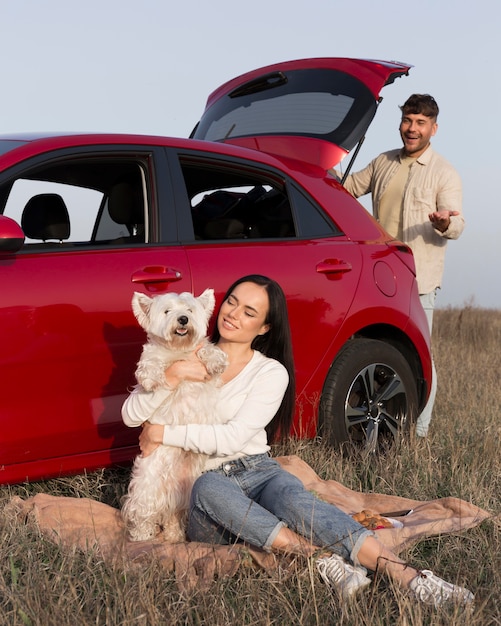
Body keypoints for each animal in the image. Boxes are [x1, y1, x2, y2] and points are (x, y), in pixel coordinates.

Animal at [122, 288, 228, 540]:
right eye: (167, 311)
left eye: (189, 309)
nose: (183, 319)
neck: (178, 350)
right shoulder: (154, 358)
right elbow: (150, 362)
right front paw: (151, 378)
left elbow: (208, 349)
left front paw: (216, 360)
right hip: (148, 485)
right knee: (142, 513)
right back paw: (142, 536)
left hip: (186, 492)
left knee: (173, 516)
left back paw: (174, 536)